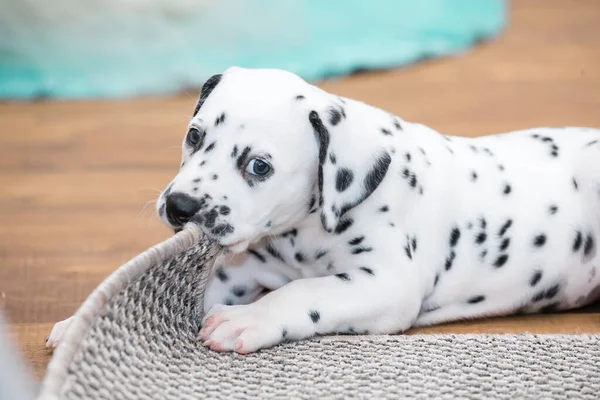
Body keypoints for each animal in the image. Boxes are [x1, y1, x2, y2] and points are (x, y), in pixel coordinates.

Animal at [48, 67, 600, 354]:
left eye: (259, 165)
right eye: (195, 136)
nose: (181, 207)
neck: (301, 235)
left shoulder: (385, 283)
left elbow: (305, 292)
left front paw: (247, 320)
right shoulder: (244, 268)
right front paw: (80, 323)